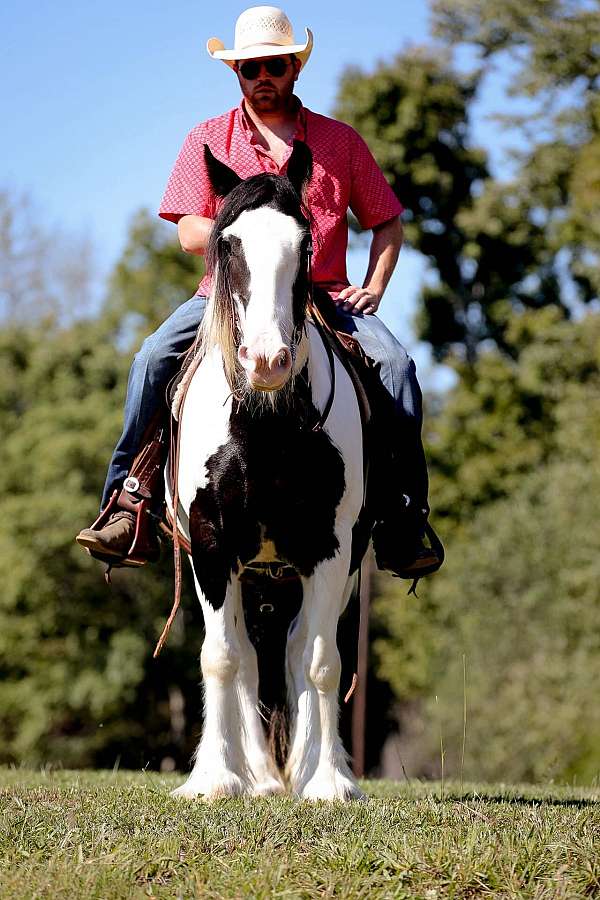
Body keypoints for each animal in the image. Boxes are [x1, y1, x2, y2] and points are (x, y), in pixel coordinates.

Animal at [166, 141, 368, 800]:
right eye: (228, 245)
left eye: (304, 244)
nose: (267, 360)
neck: (265, 425)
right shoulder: (210, 542)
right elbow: (223, 657)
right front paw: (214, 778)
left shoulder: (332, 545)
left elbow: (321, 661)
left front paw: (329, 781)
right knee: (247, 654)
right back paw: (259, 775)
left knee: (300, 646)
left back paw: (300, 770)